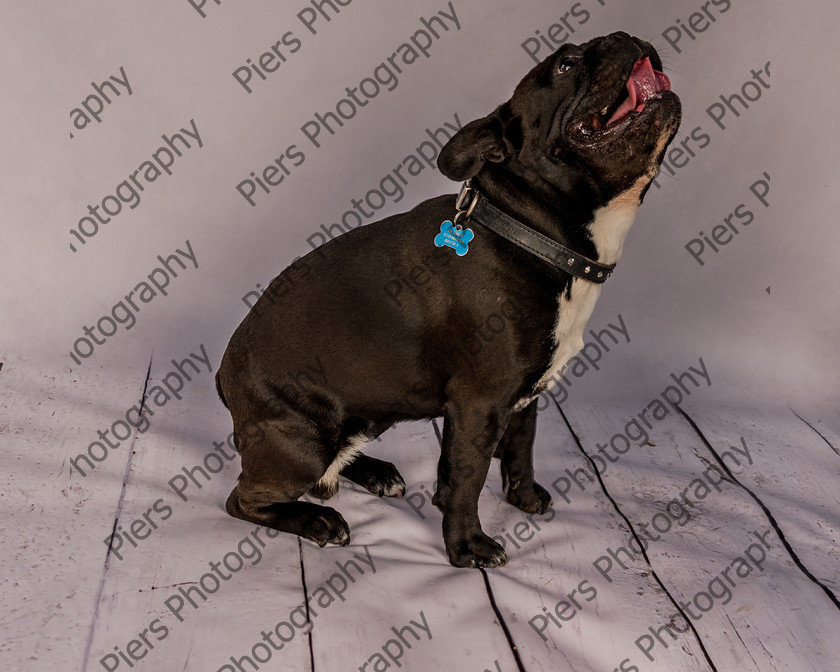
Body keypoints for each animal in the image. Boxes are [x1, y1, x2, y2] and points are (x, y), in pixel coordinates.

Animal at [213, 31, 680, 568]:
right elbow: (466, 479)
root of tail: (223, 375)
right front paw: (467, 546)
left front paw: (523, 496)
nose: (626, 35)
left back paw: (374, 471)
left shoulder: (523, 396)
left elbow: (521, 447)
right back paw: (317, 521)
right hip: (302, 442)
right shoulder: (480, 402)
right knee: (248, 498)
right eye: (565, 65)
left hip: (363, 416)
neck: (530, 230)